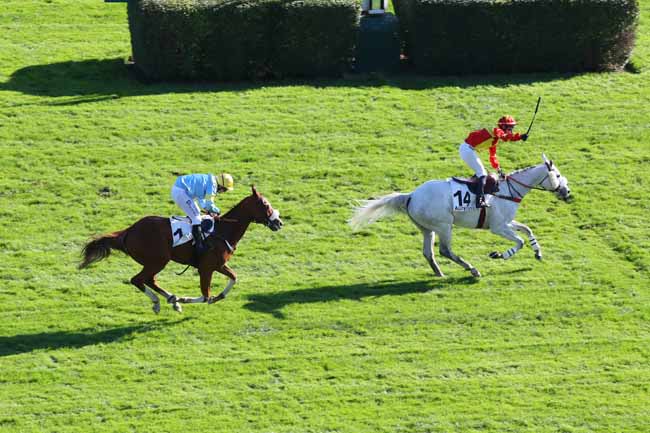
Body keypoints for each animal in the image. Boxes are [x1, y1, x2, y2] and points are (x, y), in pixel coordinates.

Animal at [78, 185, 280, 310]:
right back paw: (160, 301)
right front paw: (186, 299)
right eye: (265, 204)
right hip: (158, 260)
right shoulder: (206, 268)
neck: (223, 230)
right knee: (138, 280)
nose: (279, 222)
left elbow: (233, 277)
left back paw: (171, 299)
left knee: (149, 280)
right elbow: (205, 295)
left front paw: (218, 296)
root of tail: (128, 231)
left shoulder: (218, 265)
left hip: (155, 262)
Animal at [350, 154, 568, 278]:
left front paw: (538, 252)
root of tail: (411, 196)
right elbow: (520, 242)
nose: (567, 192)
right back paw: (472, 269)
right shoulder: (498, 227)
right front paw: (499, 255)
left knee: (428, 252)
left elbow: (527, 230)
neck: (508, 190)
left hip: (427, 229)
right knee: (445, 250)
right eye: (557, 175)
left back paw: (439, 273)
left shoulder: (506, 222)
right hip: (444, 226)